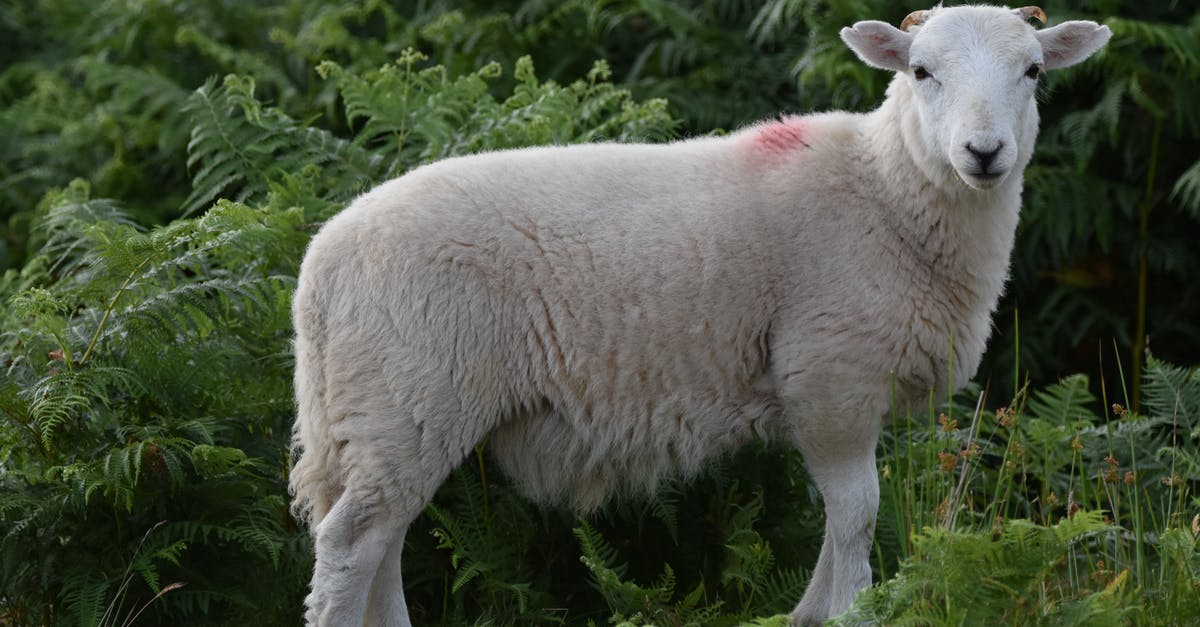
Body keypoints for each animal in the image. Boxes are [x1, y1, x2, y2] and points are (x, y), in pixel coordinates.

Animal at [288, 6, 1104, 624]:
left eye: (1034, 72)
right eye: (921, 72)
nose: (984, 152)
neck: (885, 189)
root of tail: (321, 267)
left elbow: (844, 519)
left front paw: (811, 613)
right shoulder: (830, 379)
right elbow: (857, 514)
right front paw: (848, 611)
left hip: (375, 411)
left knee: (382, 539)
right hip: (411, 395)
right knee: (352, 542)